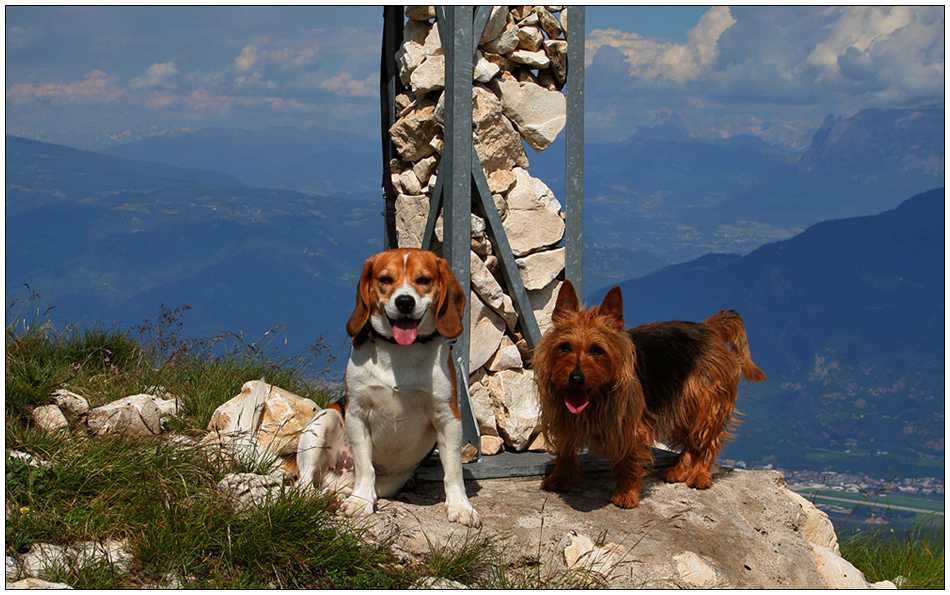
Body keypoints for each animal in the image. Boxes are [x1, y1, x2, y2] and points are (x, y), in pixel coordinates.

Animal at [536, 282, 768, 510]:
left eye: (597, 350)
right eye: (565, 347)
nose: (576, 378)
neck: (597, 396)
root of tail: (708, 328)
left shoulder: (631, 427)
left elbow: (628, 460)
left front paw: (626, 494)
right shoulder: (564, 419)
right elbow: (565, 449)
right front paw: (560, 478)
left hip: (706, 404)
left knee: (706, 440)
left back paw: (700, 475)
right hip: (680, 404)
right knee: (690, 441)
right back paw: (679, 471)